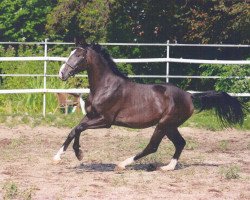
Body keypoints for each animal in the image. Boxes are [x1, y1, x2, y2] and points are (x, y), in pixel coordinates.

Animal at [54, 41, 244, 171]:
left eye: (79, 55)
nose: (62, 73)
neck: (105, 86)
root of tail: (190, 96)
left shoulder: (105, 120)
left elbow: (79, 129)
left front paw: (78, 154)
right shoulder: (91, 116)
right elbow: (74, 130)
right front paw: (59, 156)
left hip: (163, 124)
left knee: (152, 146)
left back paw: (122, 164)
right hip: (170, 126)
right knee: (180, 143)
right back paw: (167, 167)